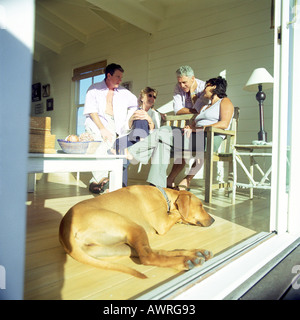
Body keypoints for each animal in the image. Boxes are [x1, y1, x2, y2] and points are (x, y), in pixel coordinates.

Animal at [58, 184, 213, 278]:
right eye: (200, 205)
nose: (213, 220)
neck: (165, 197)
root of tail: (64, 229)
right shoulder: (162, 224)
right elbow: (177, 214)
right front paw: (180, 216)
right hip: (133, 226)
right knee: (149, 257)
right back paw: (187, 260)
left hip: (115, 247)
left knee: (153, 252)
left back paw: (195, 254)